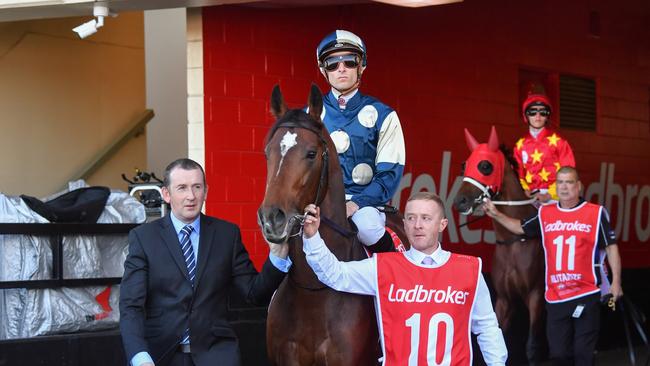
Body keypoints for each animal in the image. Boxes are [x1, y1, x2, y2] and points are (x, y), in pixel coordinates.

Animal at [454, 126, 544, 364]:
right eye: (465, 165)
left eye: (485, 165)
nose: (460, 201)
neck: (514, 239)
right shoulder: (505, 299)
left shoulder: (536, 295)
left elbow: (533, 347)